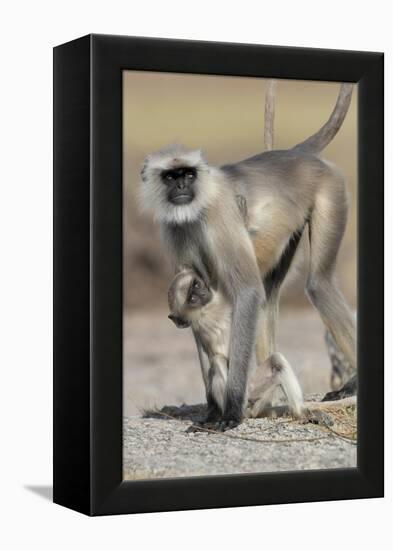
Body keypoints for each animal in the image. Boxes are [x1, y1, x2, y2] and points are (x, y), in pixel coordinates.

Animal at [139, 84, 356, 434]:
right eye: (171, 176)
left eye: (188, 173)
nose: (183, 184)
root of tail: (294, 154)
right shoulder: (173, 230)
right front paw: (213, 410)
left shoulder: (219, 214)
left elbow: (247, 291)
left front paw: (229, 410)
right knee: (274, 293)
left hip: (330, 188)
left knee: (316, 284)